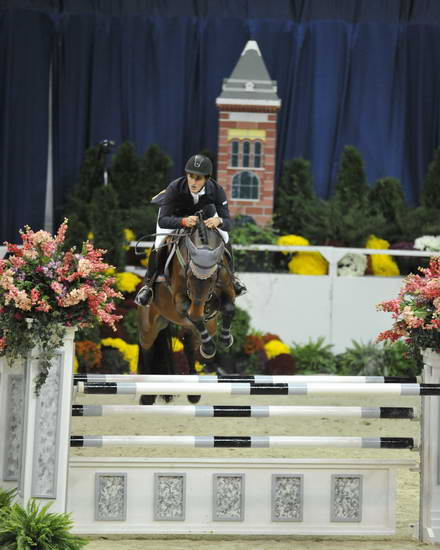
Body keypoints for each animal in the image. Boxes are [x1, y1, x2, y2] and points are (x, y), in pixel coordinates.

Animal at [137, 213, 235, 408]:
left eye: (213, 277)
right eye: (188, 274)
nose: (199, 307)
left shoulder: (227, 288)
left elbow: (228, 307)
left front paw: (225, 339)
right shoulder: (181, 299)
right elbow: (190, 312)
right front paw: (210, 346)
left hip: (201, 327)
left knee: (190, 347)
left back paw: (194, 392)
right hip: (149, 325)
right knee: (147, 348)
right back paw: (147, 396)